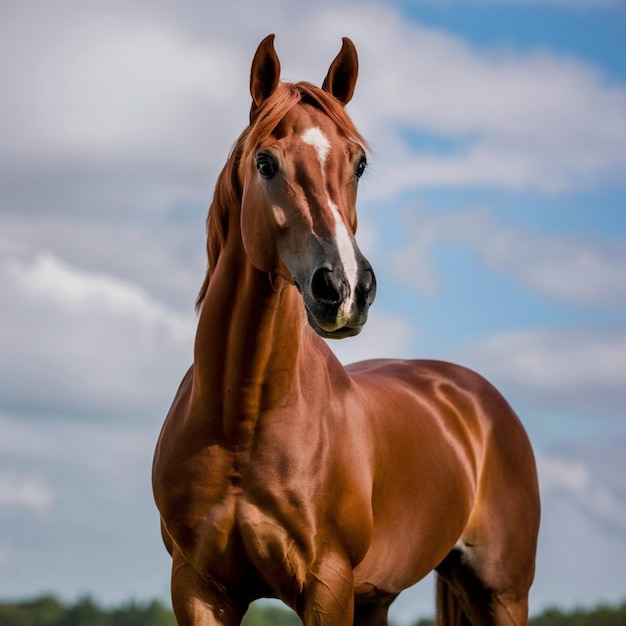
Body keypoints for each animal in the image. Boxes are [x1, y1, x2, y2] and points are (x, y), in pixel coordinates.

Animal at [151, 35, 536, 624]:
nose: (347, 287)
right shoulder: (197, 587)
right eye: (265, 162)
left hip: (502, 594)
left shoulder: (327, 584)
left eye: (359, 163)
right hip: (379, 596)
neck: (242, 419)